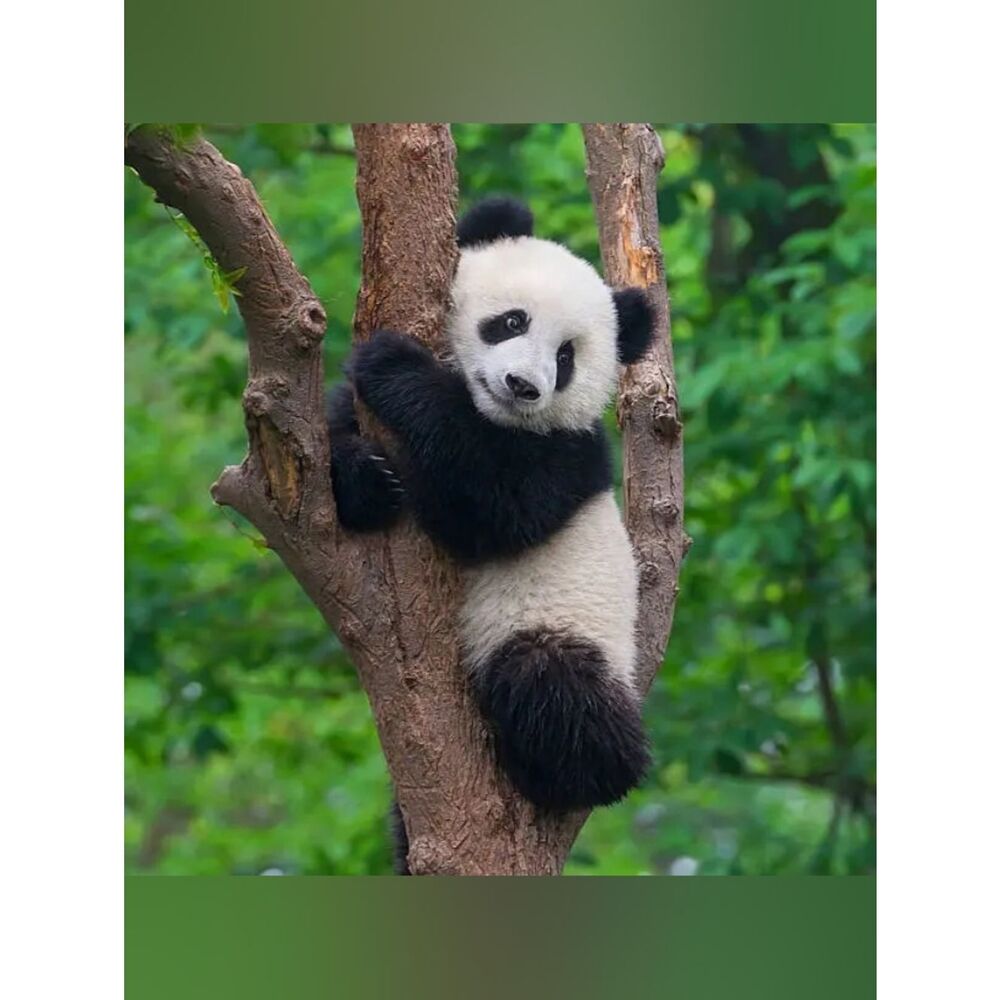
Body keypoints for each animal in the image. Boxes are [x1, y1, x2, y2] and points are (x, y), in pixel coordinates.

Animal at [327, 195, 656, 840]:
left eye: (565, 357)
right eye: (511, 322)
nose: (523, 385)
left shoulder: (568, 455)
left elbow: (491, 508)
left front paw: (395, 366)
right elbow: (330, 441)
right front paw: (367, 481)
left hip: (565, 626)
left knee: (552, 684)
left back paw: (570, 773)